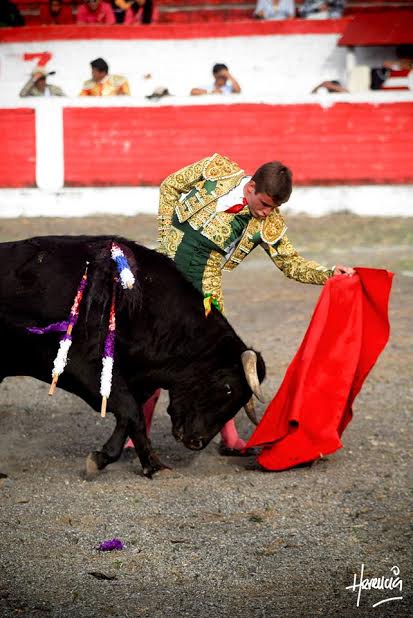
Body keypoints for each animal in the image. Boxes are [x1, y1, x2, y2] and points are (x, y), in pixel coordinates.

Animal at [0, 236, 264, 476]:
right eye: (227, 388)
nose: (196, 441)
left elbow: (131, 417)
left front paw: (144, 464)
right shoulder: (84, 365)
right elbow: (130, 411)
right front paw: (121, 461)